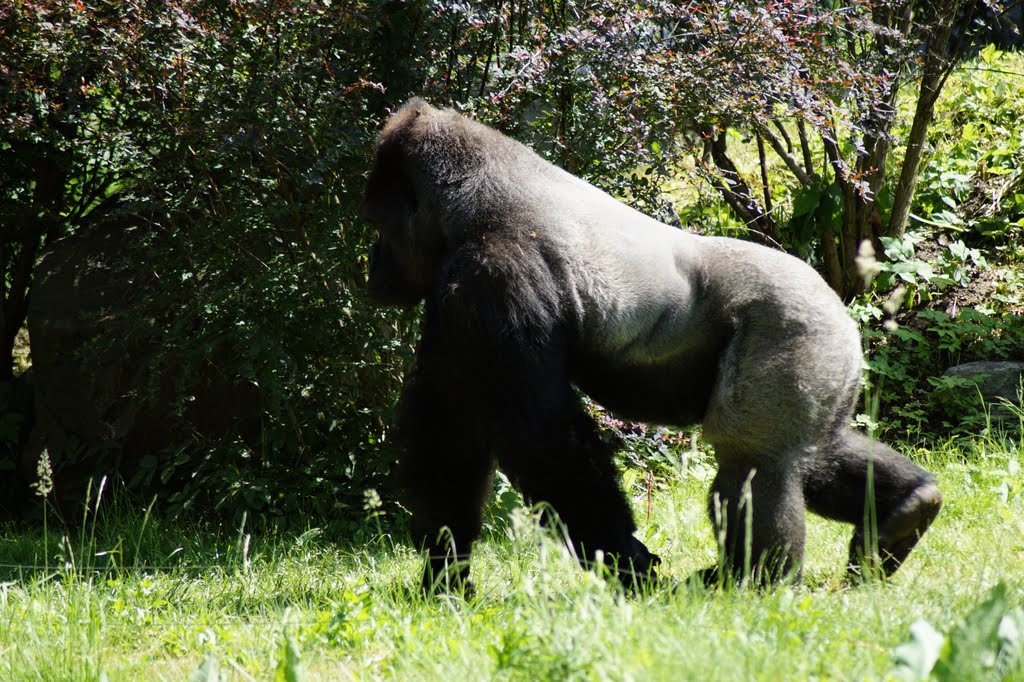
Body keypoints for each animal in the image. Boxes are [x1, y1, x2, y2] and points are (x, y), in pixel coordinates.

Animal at [361, 98, 941, 592]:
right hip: (830, 353)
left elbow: (542, 438)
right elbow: (451, 430)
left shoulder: (492, 276)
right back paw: (907, 509)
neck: (476, 196)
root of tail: (841, 304)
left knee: (756, 461)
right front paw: (444, 572)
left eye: (379, 224)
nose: (374, 263)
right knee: (813, 452)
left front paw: (621, 558)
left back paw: (754, 581)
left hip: (793, 330)